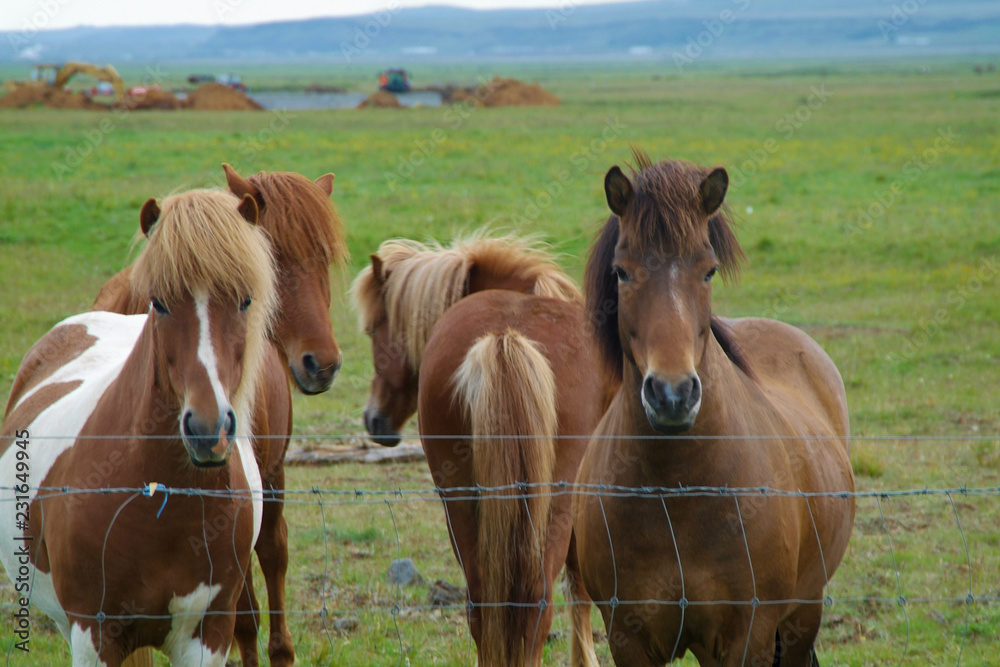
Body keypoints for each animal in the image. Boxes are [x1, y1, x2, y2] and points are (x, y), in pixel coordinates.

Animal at [90, 164, 349, 667]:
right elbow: (270, 563)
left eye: (324, 258)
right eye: (273, 261)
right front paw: (279, 651)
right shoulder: (269, 476)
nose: (322, 364)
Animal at [352, 234, 612, 666]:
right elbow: (579, 588)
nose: (374, 420)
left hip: (460, 502)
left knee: (483, 605)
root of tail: (506, 338)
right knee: (537, 605)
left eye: (373, 330)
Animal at [573, 151, 856, 666]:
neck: (677, 492)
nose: (672, 394)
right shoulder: (628, 638)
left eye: (708, 271)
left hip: (804, 614)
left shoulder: (747, 636)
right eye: (622, 271)